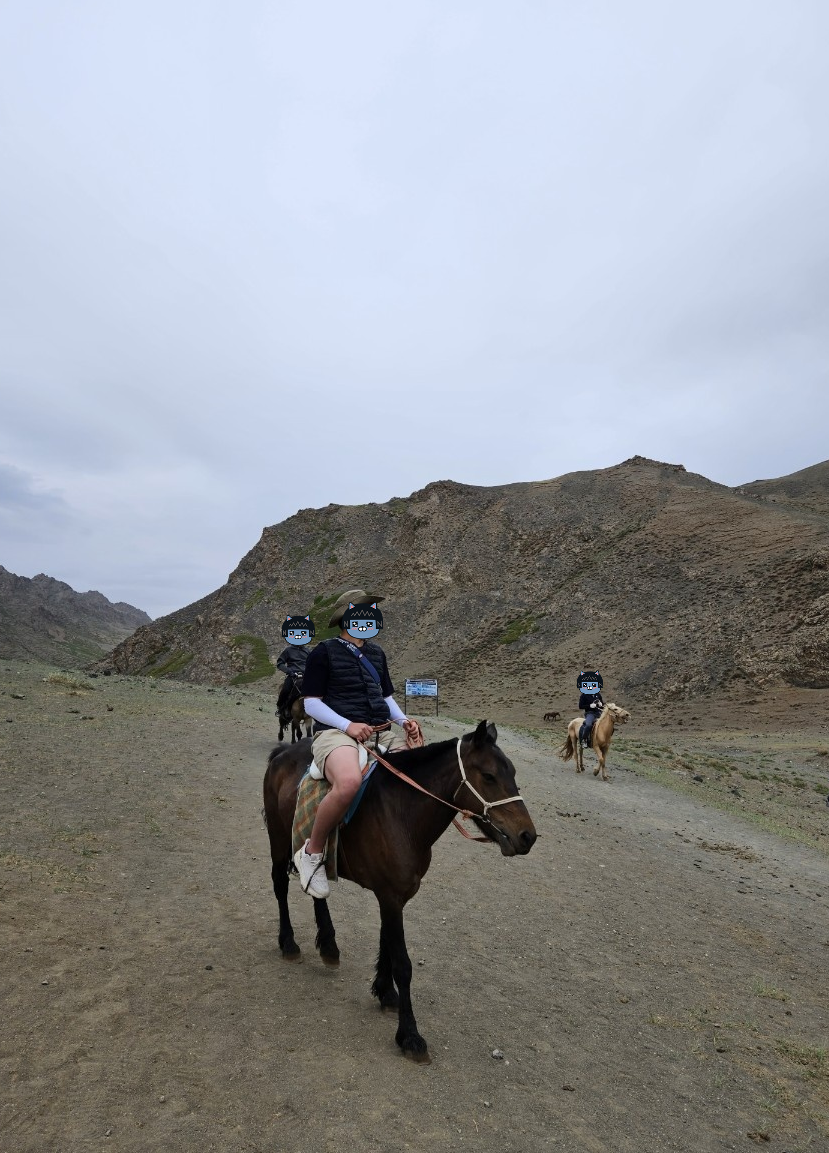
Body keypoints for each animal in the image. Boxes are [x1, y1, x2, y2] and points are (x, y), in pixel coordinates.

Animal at [262, 720, 537, 1063]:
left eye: (511, 772)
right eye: (488, 775)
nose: (527, 836)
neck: (403, 813)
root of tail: (281, 753)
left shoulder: (394, 896)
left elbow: (388, 945)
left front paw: (384, 992)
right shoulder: (390, 896)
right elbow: (403, 964)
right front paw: (410, 1035)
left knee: (317, 890)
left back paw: (328, 946)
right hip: (277, 841)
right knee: (279, 884)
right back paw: (288, 943)